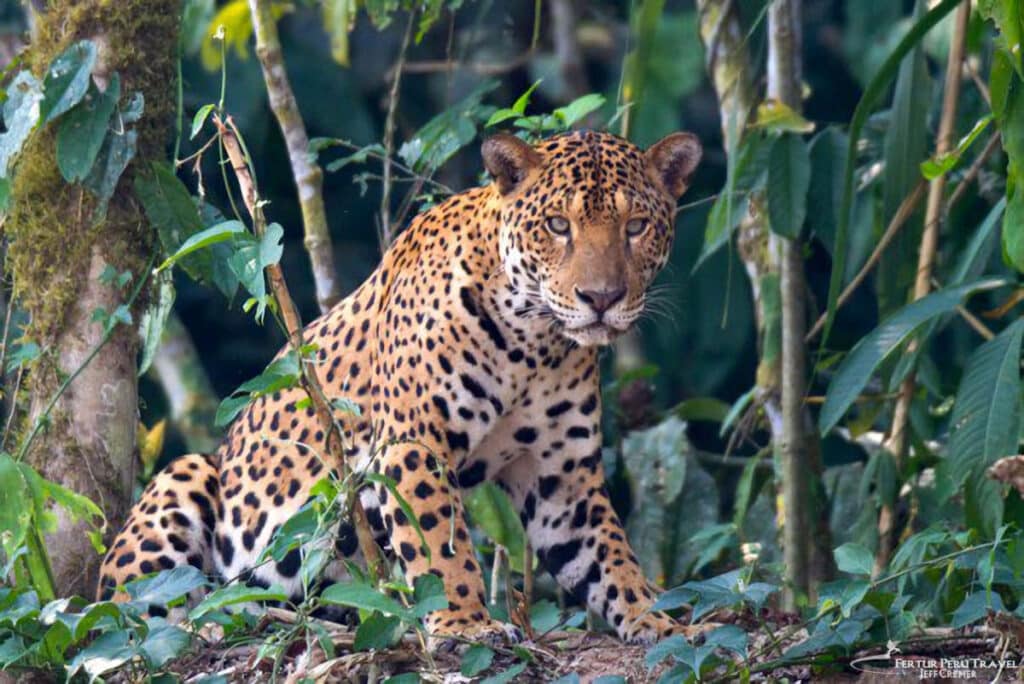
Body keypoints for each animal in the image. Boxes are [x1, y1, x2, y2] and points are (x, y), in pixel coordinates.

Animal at [98, 129, 703, 646]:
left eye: (636, 227)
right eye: (557, 225)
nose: (601, 298)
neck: (533, 345)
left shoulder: (563, 477)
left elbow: (611, 555)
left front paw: (657, 620)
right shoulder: (415, 444)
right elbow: (440, 544)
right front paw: (465, 623)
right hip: (186, 479)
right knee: (126, 613)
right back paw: (206, 623)